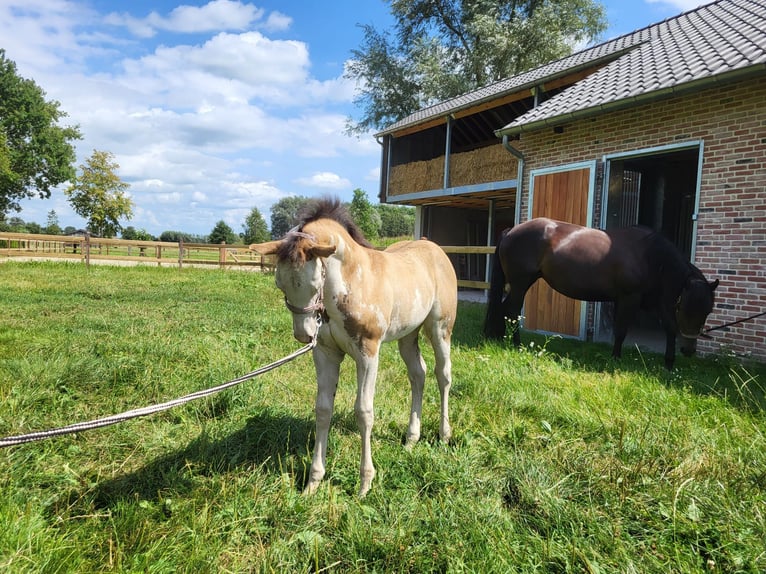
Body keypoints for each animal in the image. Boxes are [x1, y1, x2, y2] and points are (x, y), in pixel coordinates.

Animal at [250, 200, 456, 498]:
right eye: (280, 284)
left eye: (315, 282)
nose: (303, 334)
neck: (351, 284)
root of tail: (435, 248)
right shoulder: (325, 353)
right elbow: (323, 409)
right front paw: (313, 482)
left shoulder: (368, 353)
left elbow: (363, 411)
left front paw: (364, 483)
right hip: (408, 334)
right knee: (418, 374)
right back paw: (410, 439)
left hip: (440, 328)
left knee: (443, 374)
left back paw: (444, 434)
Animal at [486, 218, 720, 372]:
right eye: (683, 308)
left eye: (707, 311)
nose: (688, 350)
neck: (650, 255)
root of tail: (511, 230)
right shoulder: (629, 298)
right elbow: (621, 330)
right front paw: (616, 359)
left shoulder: (653, 301)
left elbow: (670, 327)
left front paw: (669, 364)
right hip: (520, 283)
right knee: (512, 311)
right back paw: (516, 345)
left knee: (504, 309)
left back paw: (500, 338)